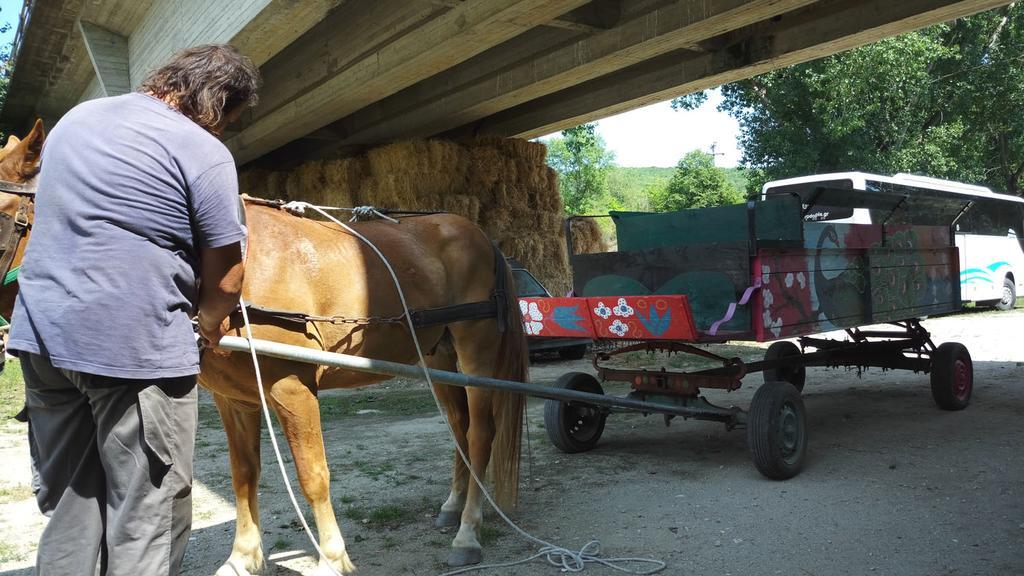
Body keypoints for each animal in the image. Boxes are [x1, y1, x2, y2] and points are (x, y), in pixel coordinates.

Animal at [199, 199, 528, 569]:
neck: (244, 263)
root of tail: (482, 236)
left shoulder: (292, 388)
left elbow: (313, 476)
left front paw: (332, 558)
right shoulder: (233, 400)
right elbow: (243, 475)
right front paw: (242, 556)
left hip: (476, 352)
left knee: (480, 435)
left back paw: (468, 532)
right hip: (438, 357)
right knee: (460, 427)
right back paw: (454, 505)